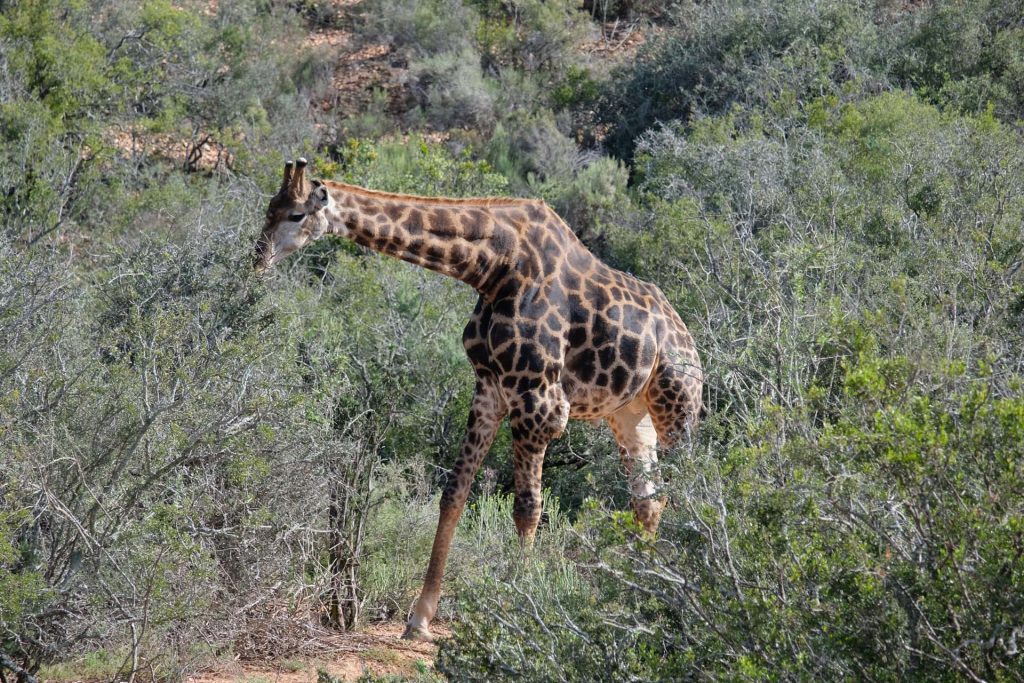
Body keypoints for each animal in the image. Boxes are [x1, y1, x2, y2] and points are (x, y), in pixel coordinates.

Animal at [256, 158, 704, 643]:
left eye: (296, 215)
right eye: (269, 209)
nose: (257, 260)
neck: (494, 266)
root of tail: (687, 337)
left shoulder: (539, 401)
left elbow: (528, 508)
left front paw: (519, 611)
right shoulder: (489, 387)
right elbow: (454, 493)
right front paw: (420, 617)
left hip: (679, 409)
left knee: (690, 490)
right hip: (630, 415)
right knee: (648, 500)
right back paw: (640, 595)